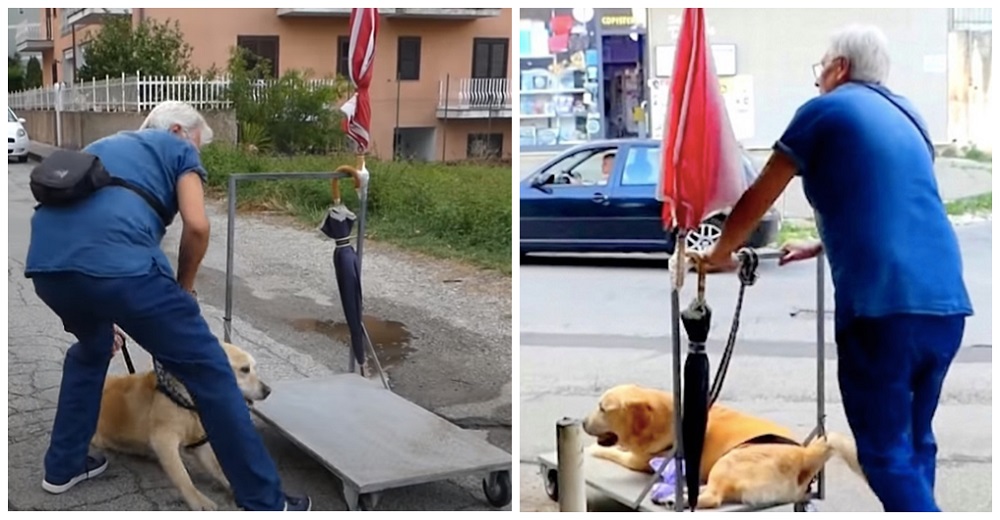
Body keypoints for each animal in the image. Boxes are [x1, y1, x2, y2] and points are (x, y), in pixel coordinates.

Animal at [90, 344, 268, 510]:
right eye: (245, 369)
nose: (268, 390)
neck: (186, 401)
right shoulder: (164, 442)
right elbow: (183, 477)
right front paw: (197, 500)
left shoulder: (200, 446)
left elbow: (217, 469)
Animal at [584, 384, 864, 510]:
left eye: (602, 408)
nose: (583, 422)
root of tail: (804, 456)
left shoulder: (639, 459)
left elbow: (612, 452)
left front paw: (591, 450)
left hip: (729, 460)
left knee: (713, 498)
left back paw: (677, 498)